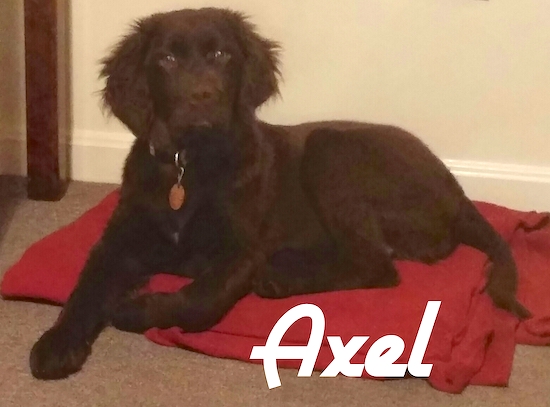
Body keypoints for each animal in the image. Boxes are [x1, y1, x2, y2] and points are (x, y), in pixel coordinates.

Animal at [28, 7, 532, 380]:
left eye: (221, 54)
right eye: (166, 60)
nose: (202, 98)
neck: (189, 166)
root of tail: (455, 187)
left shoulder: (242, 250)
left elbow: (197, 299)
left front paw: (135, 308)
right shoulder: (119, 241)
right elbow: (85, 287)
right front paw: (56, 343)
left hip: (332, 150)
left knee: (377, 265)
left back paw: (281, 278)